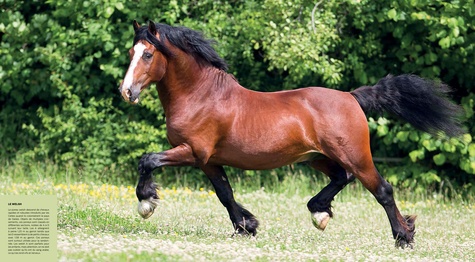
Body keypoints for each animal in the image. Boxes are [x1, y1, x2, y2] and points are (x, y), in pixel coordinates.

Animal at [119, 21, 464, 248]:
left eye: (148, 54)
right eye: (131, 51)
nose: (127, 91)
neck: (201, 95)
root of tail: (351, 97)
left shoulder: (193, 152)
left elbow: (148, 160)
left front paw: (146, 202)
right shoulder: (209, 161)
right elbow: (225, 193)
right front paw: (246, 226)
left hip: (355, 156)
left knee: (382, 190)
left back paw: (403, 236)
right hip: (318, 158)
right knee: (342, 178)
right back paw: (319, 212)